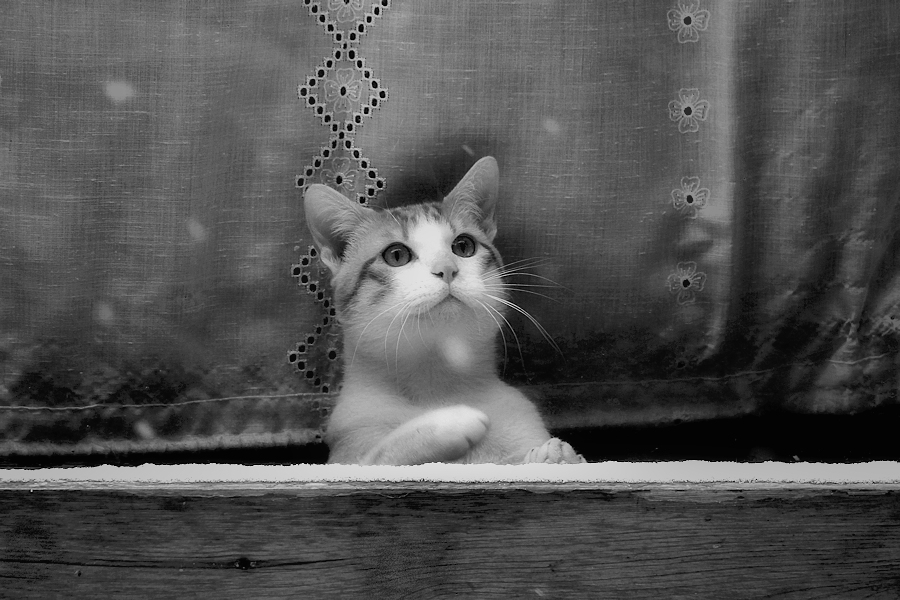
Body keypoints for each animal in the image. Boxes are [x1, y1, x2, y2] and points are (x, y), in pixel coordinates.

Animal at [302, 156, 584, 464]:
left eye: (464, 246)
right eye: (396, 255)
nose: (447, 269)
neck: (435, 383)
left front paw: (556, 457)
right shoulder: (349, 447)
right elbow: (382, 453)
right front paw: (447, 421)